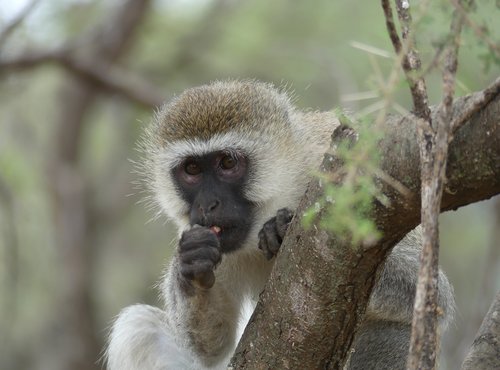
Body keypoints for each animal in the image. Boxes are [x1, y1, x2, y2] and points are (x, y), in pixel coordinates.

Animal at [106, 79, 458, 368]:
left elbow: (433, 293)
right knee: (139, 327)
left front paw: (280, 229)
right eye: (191, 169)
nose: (207, 205)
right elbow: (210, 346)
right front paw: (191, 264)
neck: (283, 189)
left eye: (227, 162)